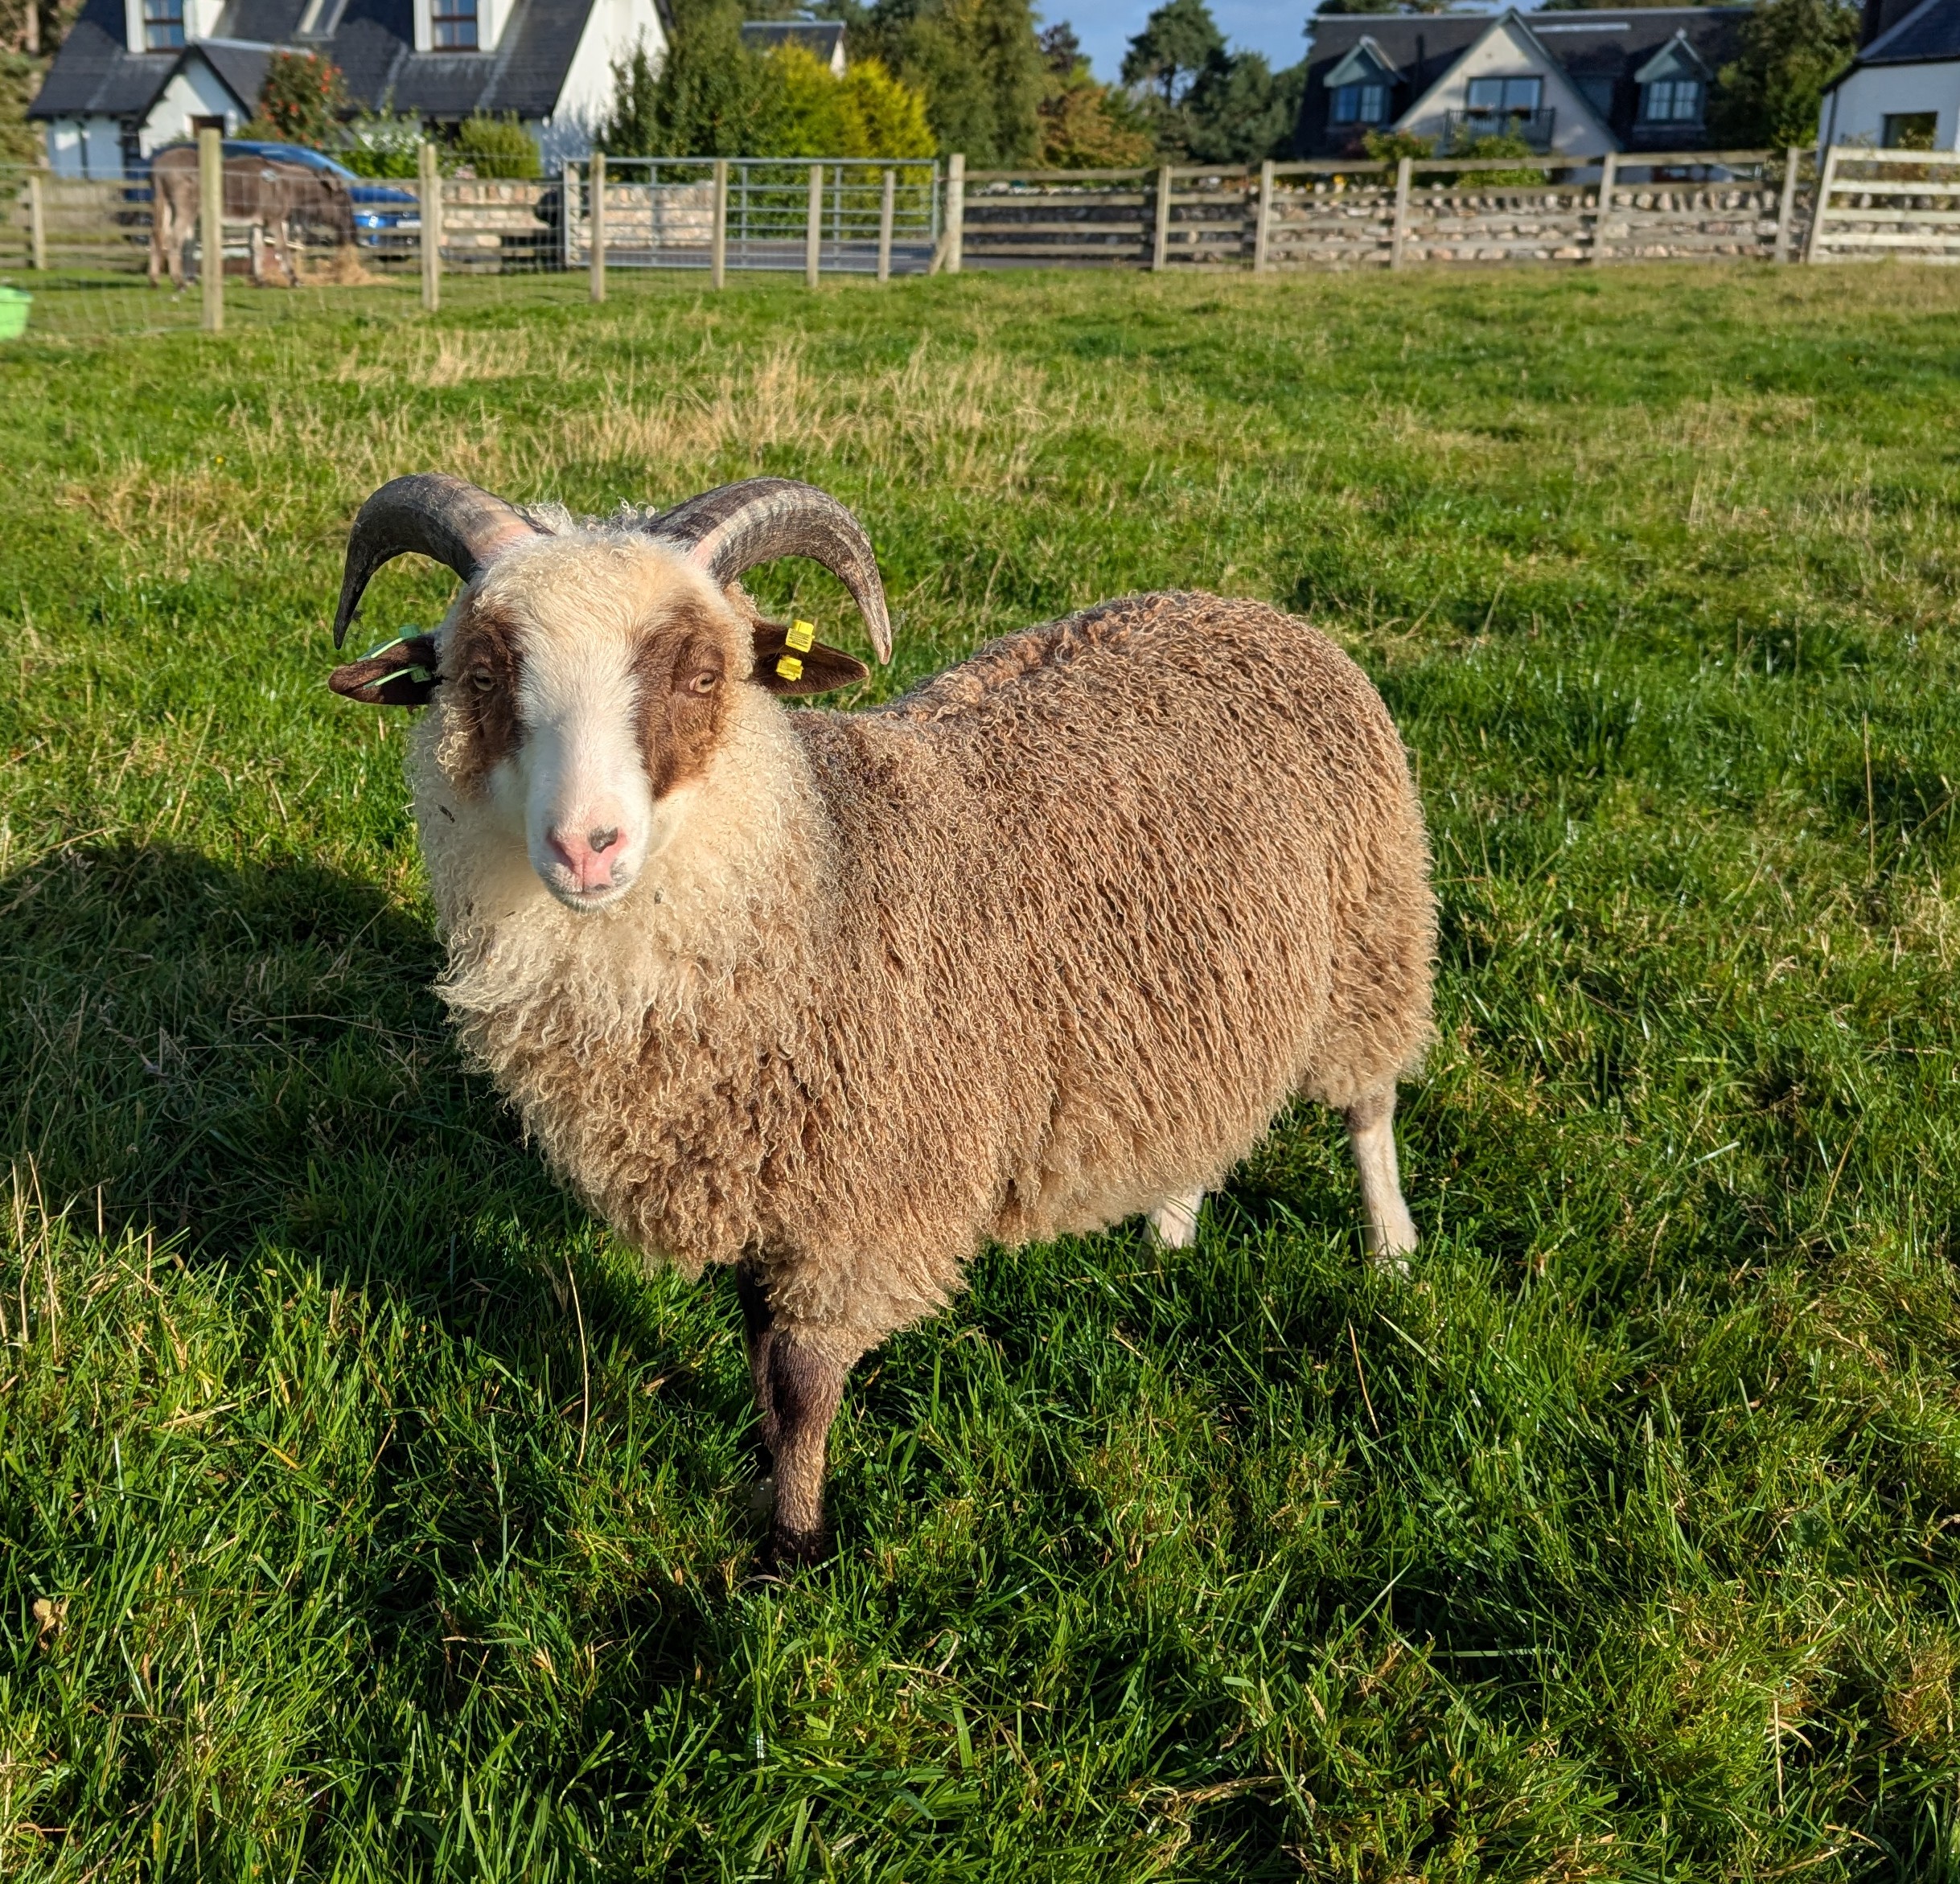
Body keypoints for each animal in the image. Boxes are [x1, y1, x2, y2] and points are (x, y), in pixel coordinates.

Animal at [326, 474, 1435, 1564]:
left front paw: (794, 1544)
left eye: (703, 675)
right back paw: (1169, 1233)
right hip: (1210, 1000)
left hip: (1371, 939)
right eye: (480, 676)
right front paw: (770, 1485)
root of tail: (1243, 606)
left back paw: (1391, 1252)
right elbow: (758, 1351)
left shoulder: (862, 1199)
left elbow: (804, 1382)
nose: (585, 847)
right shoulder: (769, 1181)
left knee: (1368, 1105)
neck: (815, 871)